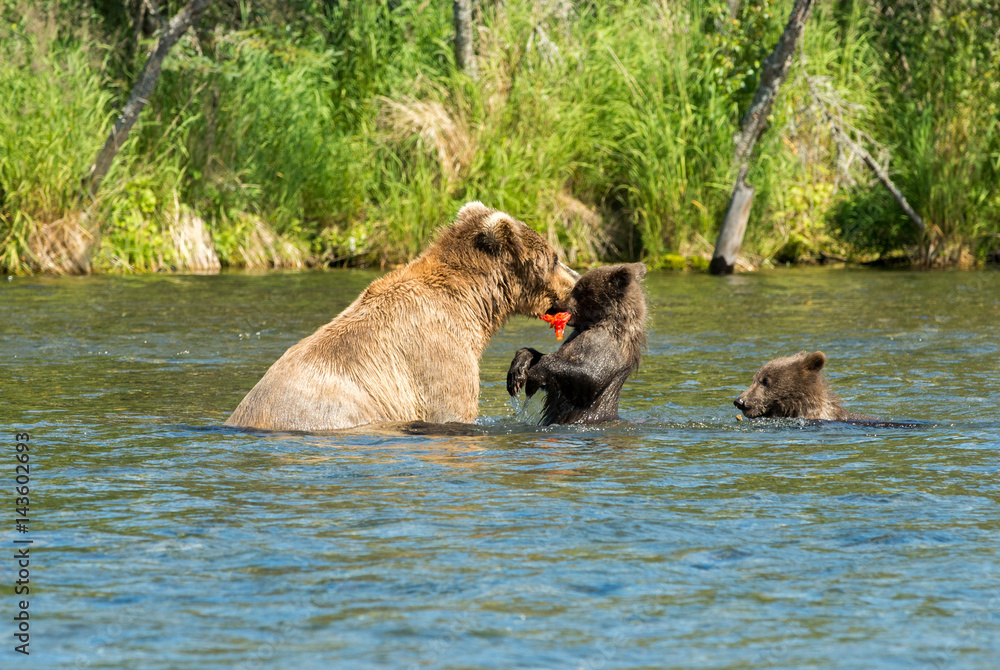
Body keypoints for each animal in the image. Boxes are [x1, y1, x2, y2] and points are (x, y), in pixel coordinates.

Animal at [505, 263, 647, 425]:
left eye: (578, 289)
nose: (556, 302)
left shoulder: (606, 345)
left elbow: (589, 376)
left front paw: (532, 376)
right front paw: (517, 373)